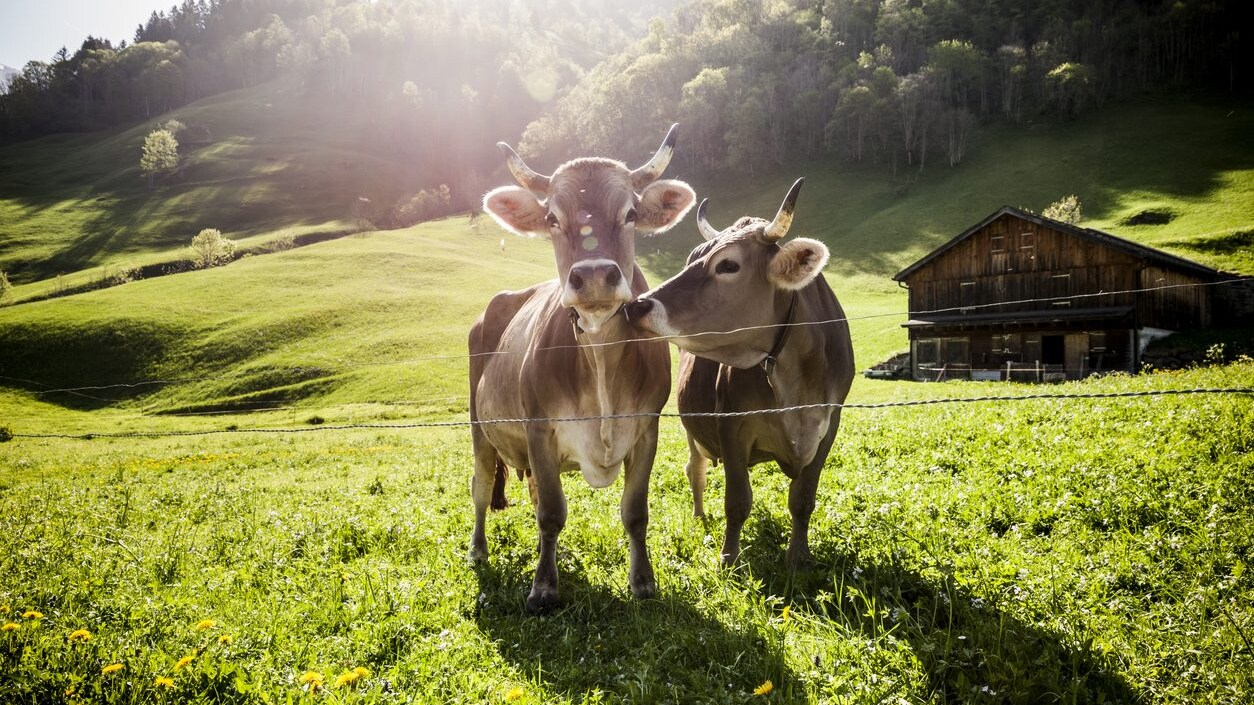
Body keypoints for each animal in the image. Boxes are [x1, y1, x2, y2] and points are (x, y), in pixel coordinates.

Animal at [469, 126, 696, 613]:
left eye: (631, 213)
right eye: (552, 218)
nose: (592, 276)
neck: (600, 358)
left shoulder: (646, 429)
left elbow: (635, 511)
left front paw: (642, 582)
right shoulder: (539, 428)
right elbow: (552, 513)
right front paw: (542, 588)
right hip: (480, 426)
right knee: (481, 484)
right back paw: (478, 549)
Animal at [624, 178, 854, 569]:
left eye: (728, 265)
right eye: (692, 257)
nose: (636, 305)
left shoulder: (829, 425)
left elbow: (802, 499)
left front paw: (798, 556)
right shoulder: (731, 424)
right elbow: (737, 501)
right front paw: (728, 558)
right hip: (693, 427)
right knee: (695, 469)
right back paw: (700, 517)